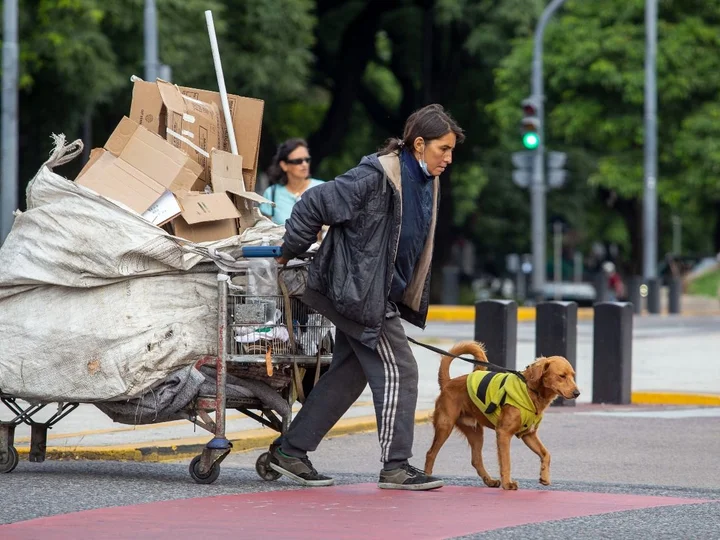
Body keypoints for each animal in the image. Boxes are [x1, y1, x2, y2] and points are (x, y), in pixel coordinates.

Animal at [424, 342, 584, 490]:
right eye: (562, 376)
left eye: (573, 376)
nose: (577, 393)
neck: (530, 390)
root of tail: (448, 382)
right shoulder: (503, 433)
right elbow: (506, 461)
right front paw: (508, 484)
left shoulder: (528, 434)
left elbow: (546, 454)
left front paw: (544, 476)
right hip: (445, 426)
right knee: (430, 453)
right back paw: (427, 477)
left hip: (475, 432)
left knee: (476, 460)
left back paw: (489, 481)